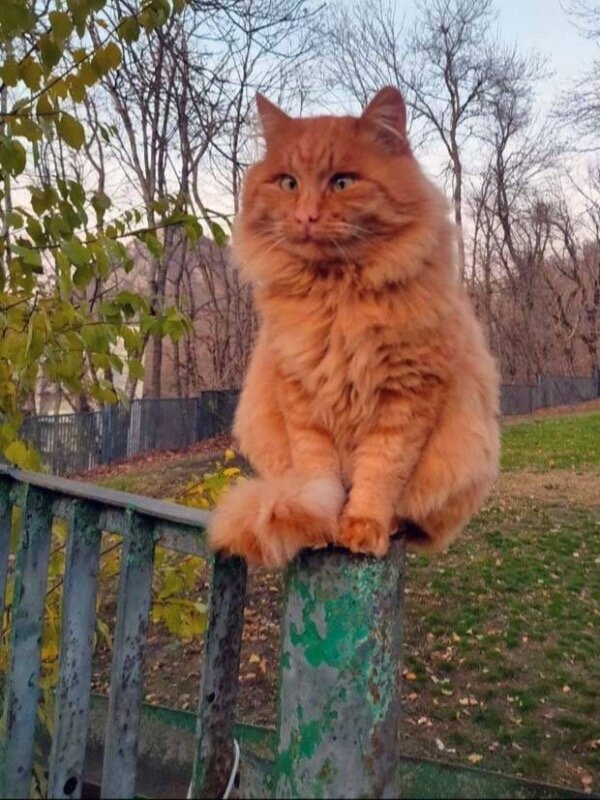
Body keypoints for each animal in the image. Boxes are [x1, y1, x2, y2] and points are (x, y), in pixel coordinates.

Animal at [209, 87, 500, 569]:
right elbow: (319, 477)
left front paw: (363, 527)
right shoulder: (301, 400)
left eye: (342, 183)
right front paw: (319, 526)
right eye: (289, 183)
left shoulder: (406, 398)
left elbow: (379, 474)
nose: (306, 217)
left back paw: (393, 525)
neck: (337, 300)